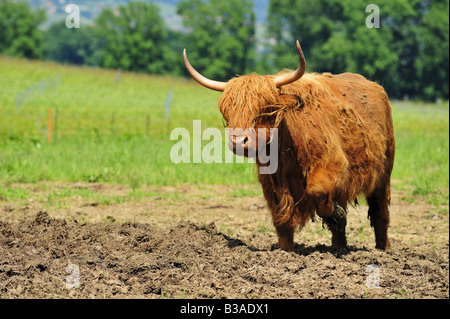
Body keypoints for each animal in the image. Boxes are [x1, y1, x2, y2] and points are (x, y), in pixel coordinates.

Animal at [183, 41, 394, 252]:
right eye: (228, 112)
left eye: (265, 109)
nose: (238, 141)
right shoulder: (271, 184)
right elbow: (282, 221)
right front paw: (285, 252)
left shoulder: (333, 163)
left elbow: (318, 193)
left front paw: (337, 214)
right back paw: (339, 247)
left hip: (384, 173)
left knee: (380, 213)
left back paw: (384, 249)